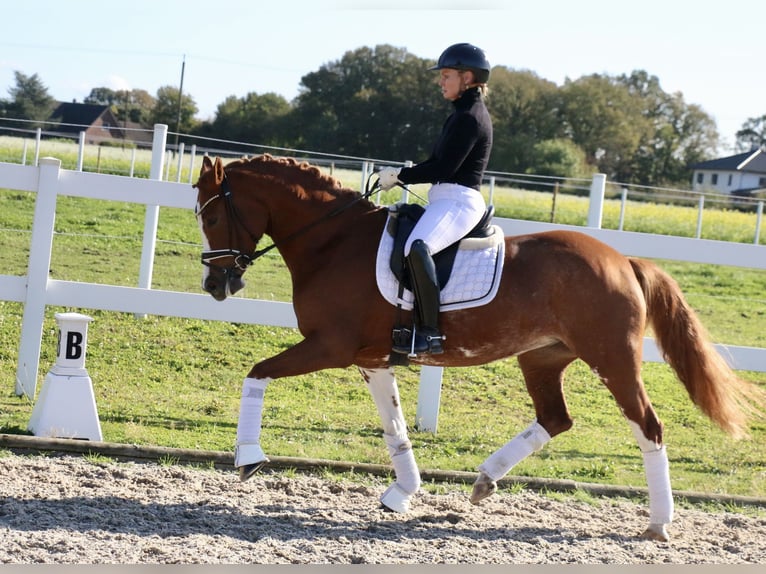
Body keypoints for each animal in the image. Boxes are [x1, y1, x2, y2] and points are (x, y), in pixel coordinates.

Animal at [195, 154, 764, 544]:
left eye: (212, 217)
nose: (216, 286)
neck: (333, 242)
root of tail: (623, 259)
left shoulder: (329, 346)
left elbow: (256, 373)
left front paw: (249, 458)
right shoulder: (370, 360)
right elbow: (394, 427)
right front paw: (402, 493)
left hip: (613, 360)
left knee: (648, 426)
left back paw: (658, 524)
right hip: (542, 357)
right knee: (556, 419)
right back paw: (485, 480)